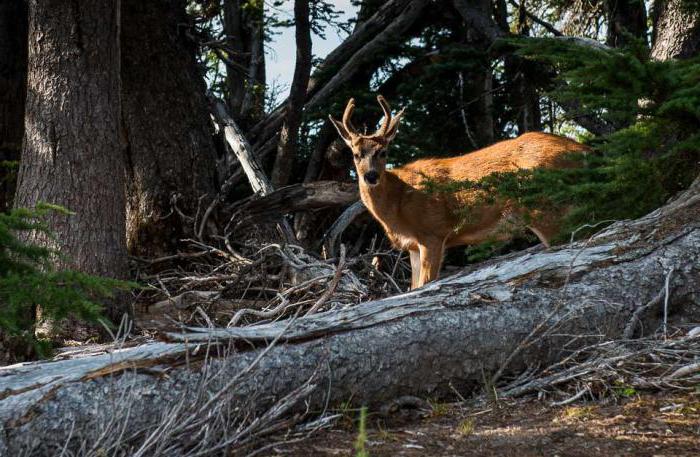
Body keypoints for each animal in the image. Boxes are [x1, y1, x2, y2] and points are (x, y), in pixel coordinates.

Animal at [330, 95, 588, 288]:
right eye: (356, 154)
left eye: (383, 152)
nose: (371, 176)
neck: (398, 203)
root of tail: (583, 150)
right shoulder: (412, 247)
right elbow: (412, 289)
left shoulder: (433, 233)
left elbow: (424, 285)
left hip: (545, 208)